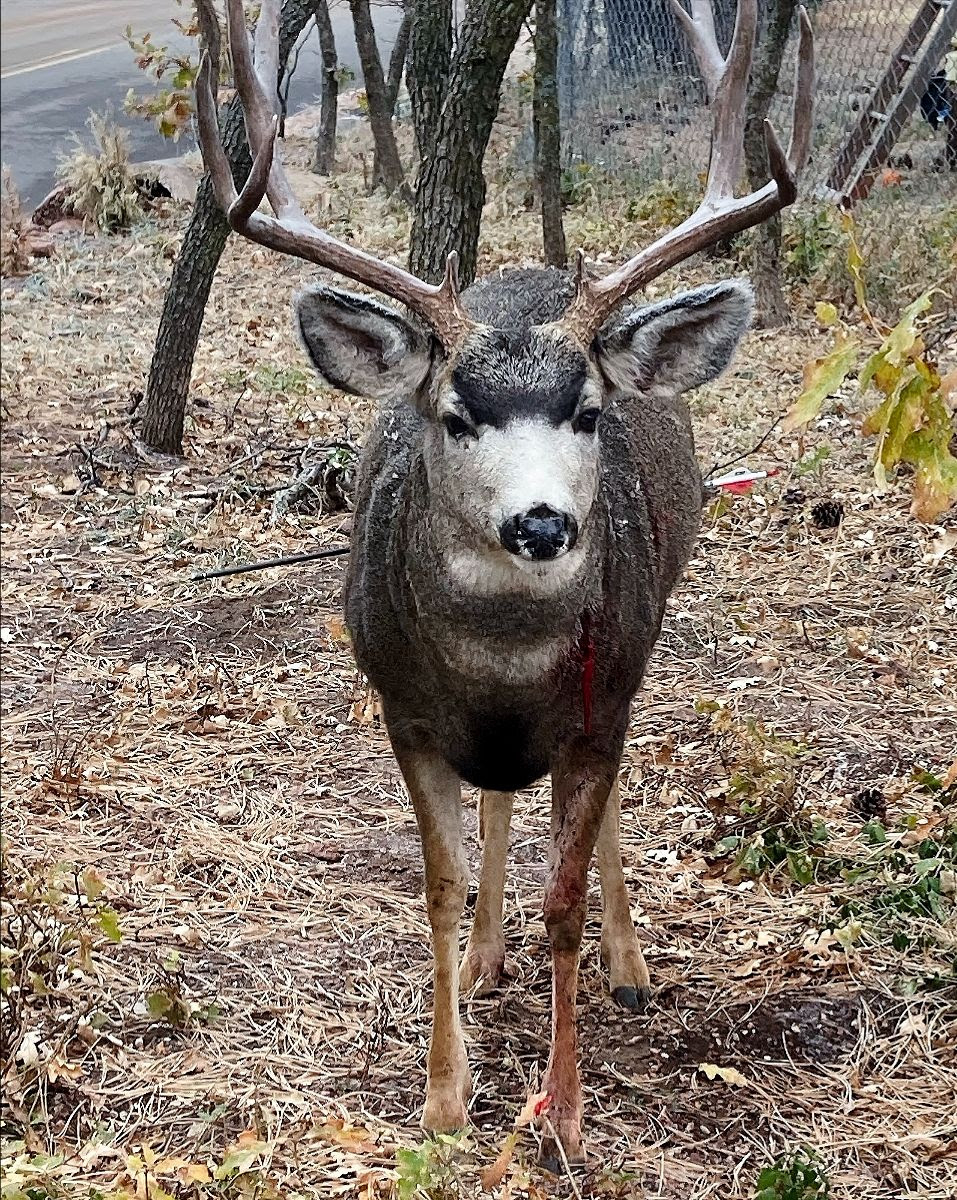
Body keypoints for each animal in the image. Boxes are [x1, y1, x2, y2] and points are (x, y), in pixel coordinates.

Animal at [196, 0, 814, 1162]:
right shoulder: (402, 709)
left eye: (587, 411)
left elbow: (564, 896)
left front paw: (562, 1110)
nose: (541, 521)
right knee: (494, 807)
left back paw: (628, 966)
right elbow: (437, 887)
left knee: (597, 816)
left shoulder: (601, 701)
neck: (501, 667)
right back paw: (486, 960)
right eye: (455, 415)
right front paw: (444, 1098)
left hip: (635, 656)